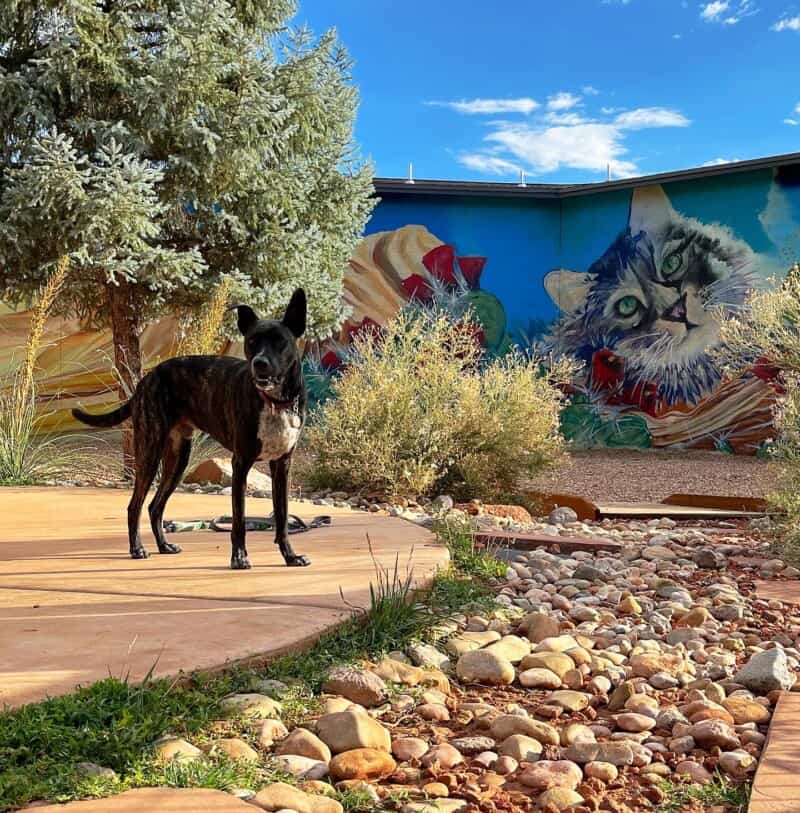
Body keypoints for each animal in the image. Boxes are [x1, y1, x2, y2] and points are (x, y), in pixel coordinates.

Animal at [72, 288, 310, 568]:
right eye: (252, 341)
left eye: (280, 341)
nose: (259, 363)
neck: (274, 402)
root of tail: (147, 378)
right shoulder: (241, 463)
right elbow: (239, 521)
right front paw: (239, 557)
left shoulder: (282, 465)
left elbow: (282, 519)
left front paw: (290, 556)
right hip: (150, 452)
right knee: (135, 506)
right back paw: (137, 548)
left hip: (178, 459)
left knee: (155, 506)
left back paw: (163, 545)